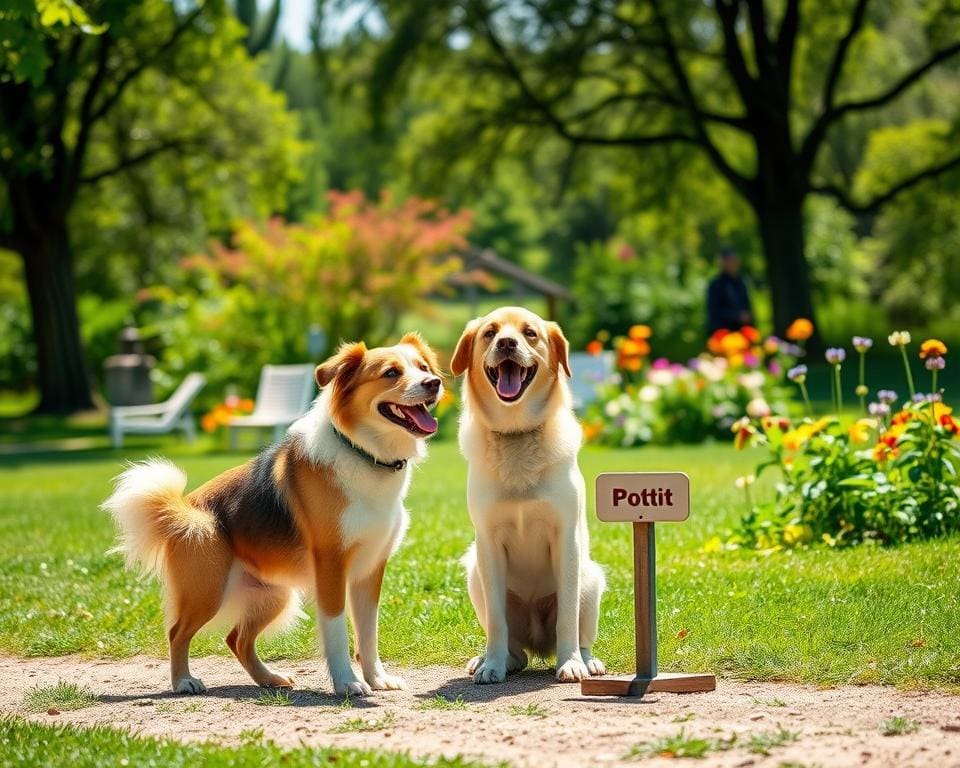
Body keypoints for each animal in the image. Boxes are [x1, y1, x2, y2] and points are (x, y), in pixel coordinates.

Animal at [102, 334, 442, 696]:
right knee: (177, 632)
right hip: (207, 591)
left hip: (274, 595)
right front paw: (347, 682)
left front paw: (377, 678)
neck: (363, 452)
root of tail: (184, 510)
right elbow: (336, 629)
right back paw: (183, 680)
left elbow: (368, 632)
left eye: (423, 368)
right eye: (391, 373)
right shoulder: (331, 566)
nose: (434, 383)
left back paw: (269, 679)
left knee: (236, 639)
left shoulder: (370, 568)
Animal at [452, 306, 604, 684]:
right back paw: (497, 659)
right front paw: (492, 664)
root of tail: (538, 645)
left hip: (591, 578)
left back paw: (587, 660)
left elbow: (568, 618)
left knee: (582, 632)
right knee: (514, 647)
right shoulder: (488, 544)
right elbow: (497, 622)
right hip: (474, 573)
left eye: (529, 333)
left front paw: (571, 663)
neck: (516, 433)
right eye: (490, 333)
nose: (507, 343)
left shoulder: (565, 538)